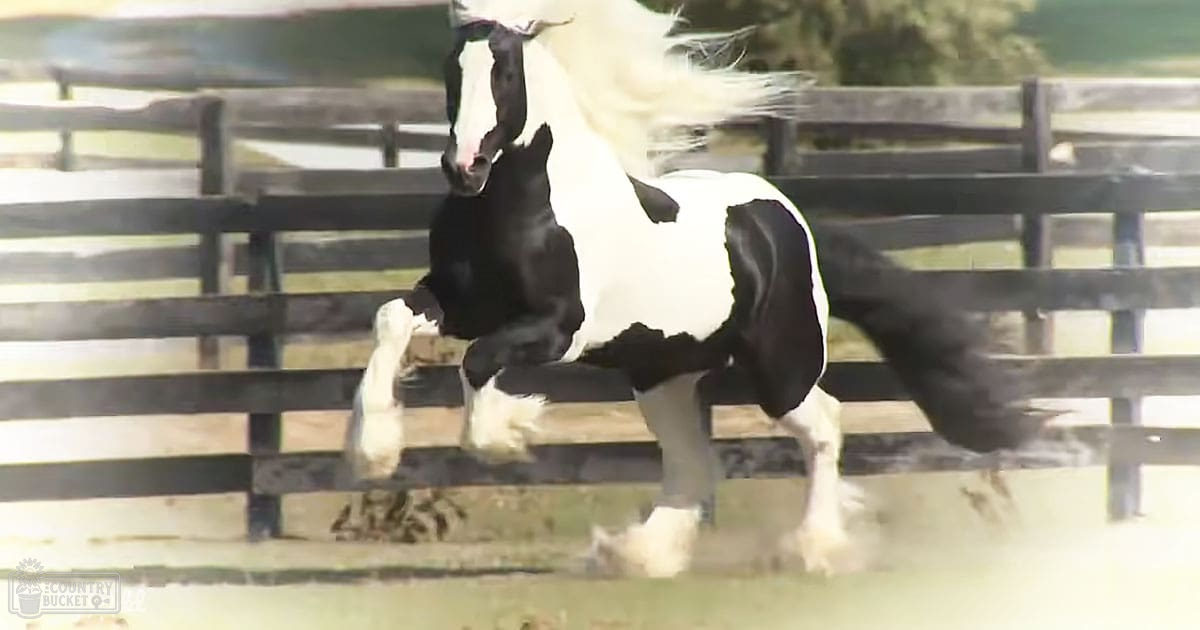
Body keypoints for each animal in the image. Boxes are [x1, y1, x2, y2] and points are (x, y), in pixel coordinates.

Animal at [345, 0, 1047, 578]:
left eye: (507, 74)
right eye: (450, 71)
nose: (463, 168)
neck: (525, 204)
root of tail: (787, 221)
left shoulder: (557, 327)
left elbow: (479, 360)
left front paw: (509, 433)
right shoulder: (458, 303)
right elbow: (392, 319)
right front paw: (371, 452)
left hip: (780, 368)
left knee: (824, 426)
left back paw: (811, 549)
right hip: (664, 374)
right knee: (690, 461)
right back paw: (637, 555)